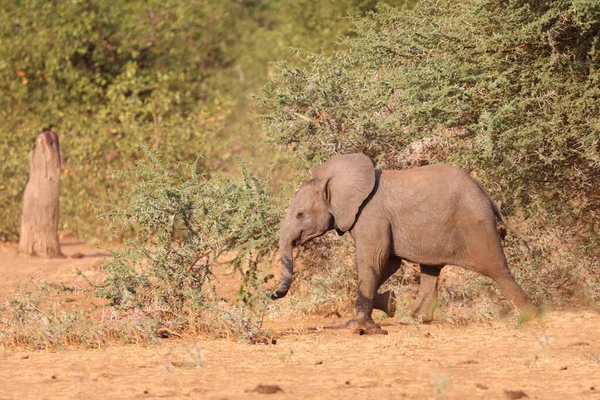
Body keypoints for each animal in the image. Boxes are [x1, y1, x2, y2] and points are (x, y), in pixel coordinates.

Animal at [270, 152, 536, 328]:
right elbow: (388, 263)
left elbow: (373, 260)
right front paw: (390, 304)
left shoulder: (371, 215)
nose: (272, 294)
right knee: (431, 269)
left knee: (497, 268)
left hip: (475, 225)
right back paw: (418, 317)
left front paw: (356, 327)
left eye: (300, 214)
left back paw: (531, 314)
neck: (334, 180)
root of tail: (487, 195)